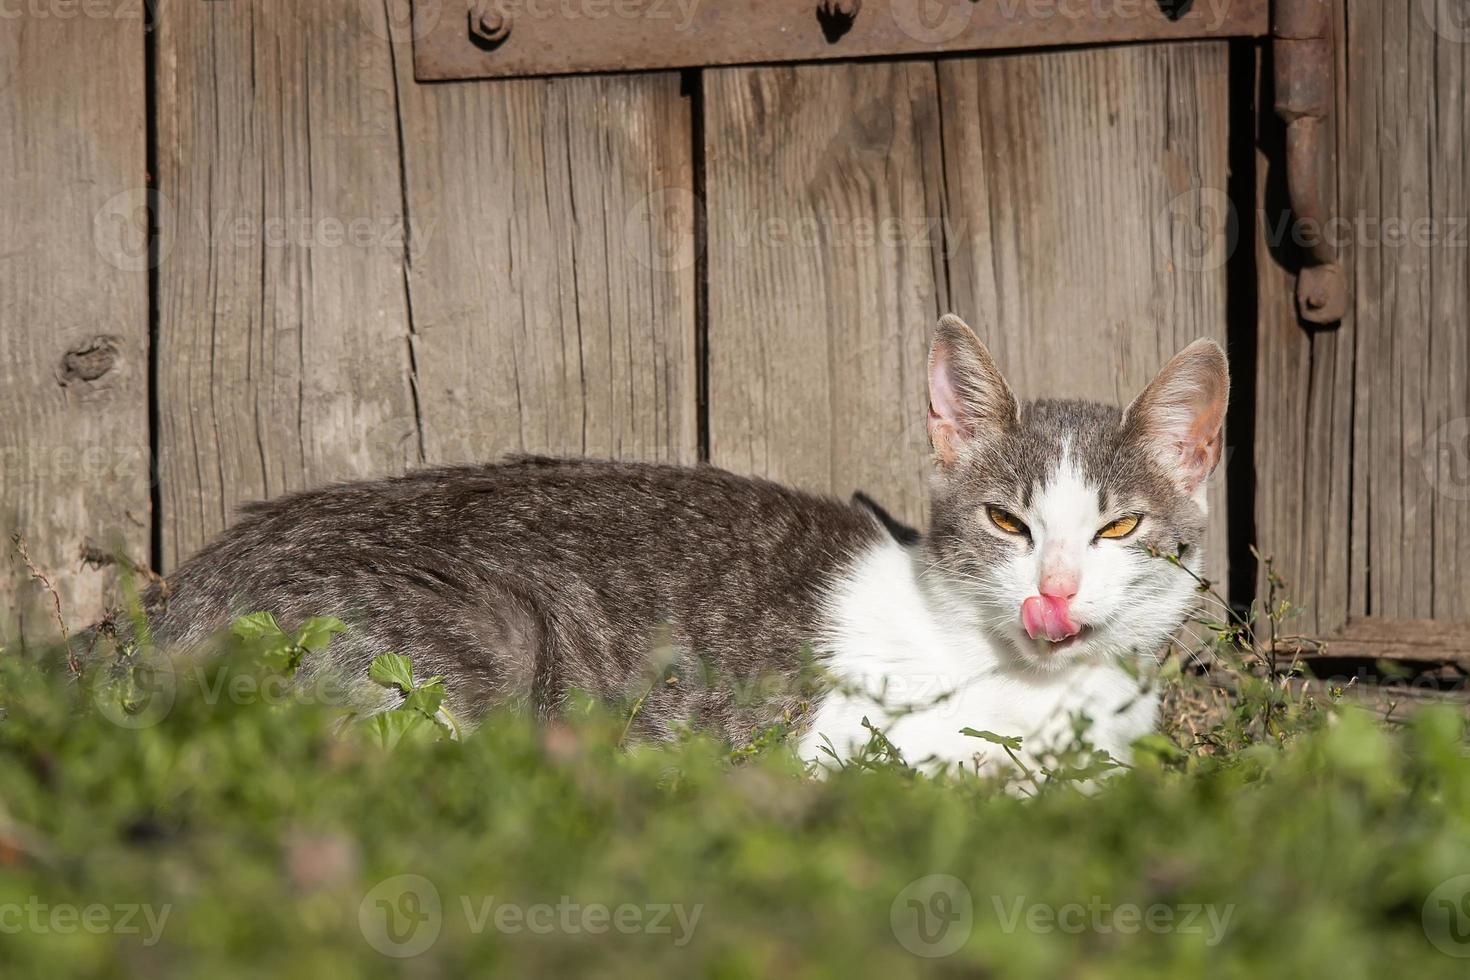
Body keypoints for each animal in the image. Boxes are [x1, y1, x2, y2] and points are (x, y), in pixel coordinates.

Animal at [94, 314, 1228, 775]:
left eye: (1118, 525)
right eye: (1007, 522)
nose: (1054, 593)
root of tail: (166, 607)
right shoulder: (856, 753)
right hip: (487, 640)